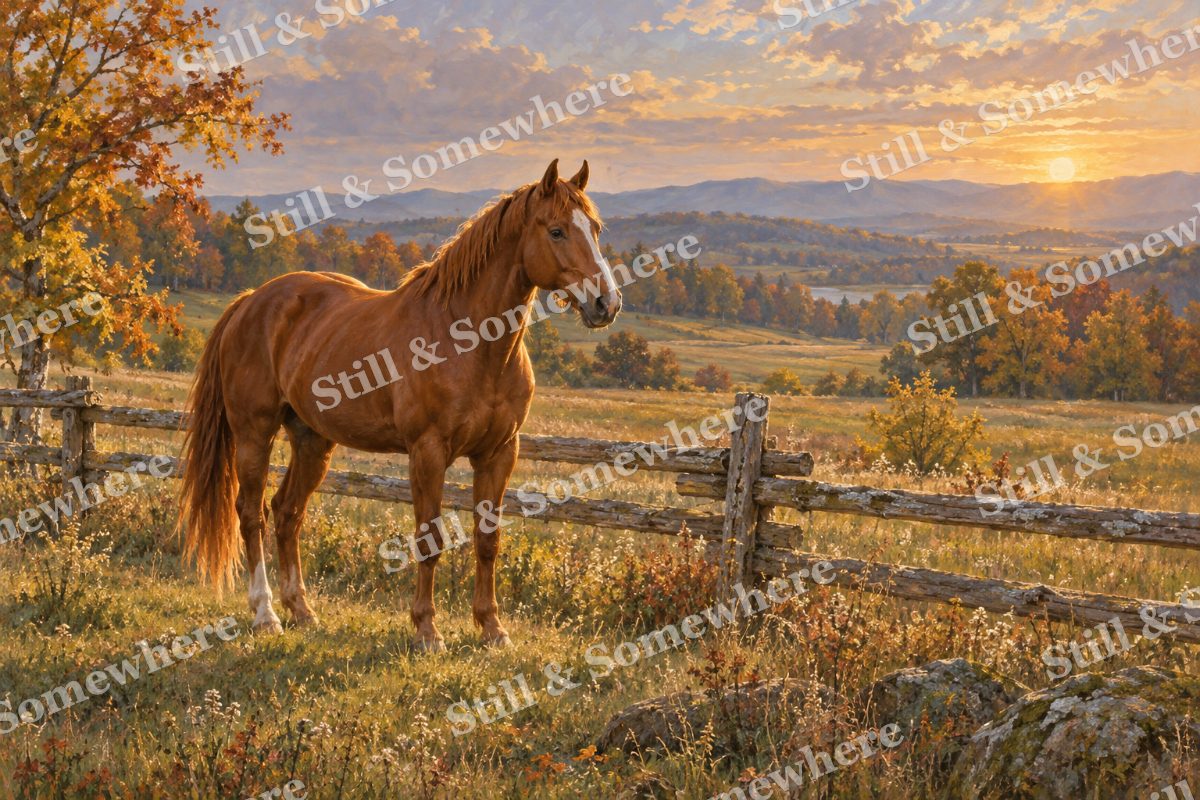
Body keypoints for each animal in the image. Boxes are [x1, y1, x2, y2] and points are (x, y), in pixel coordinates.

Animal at [179, 159, 620, 652]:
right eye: (557, 230)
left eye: (595, 228)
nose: (606, 303)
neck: (467, 341)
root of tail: (251, 300)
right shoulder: (427, 452)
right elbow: (429, 538)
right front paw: (427, 629)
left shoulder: (500, 453)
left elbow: (487, 539)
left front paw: (492, 628)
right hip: (254, 433)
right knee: (251, 513)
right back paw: (266, 613)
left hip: (312, 441)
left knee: (287, 513)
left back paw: (302, 610)